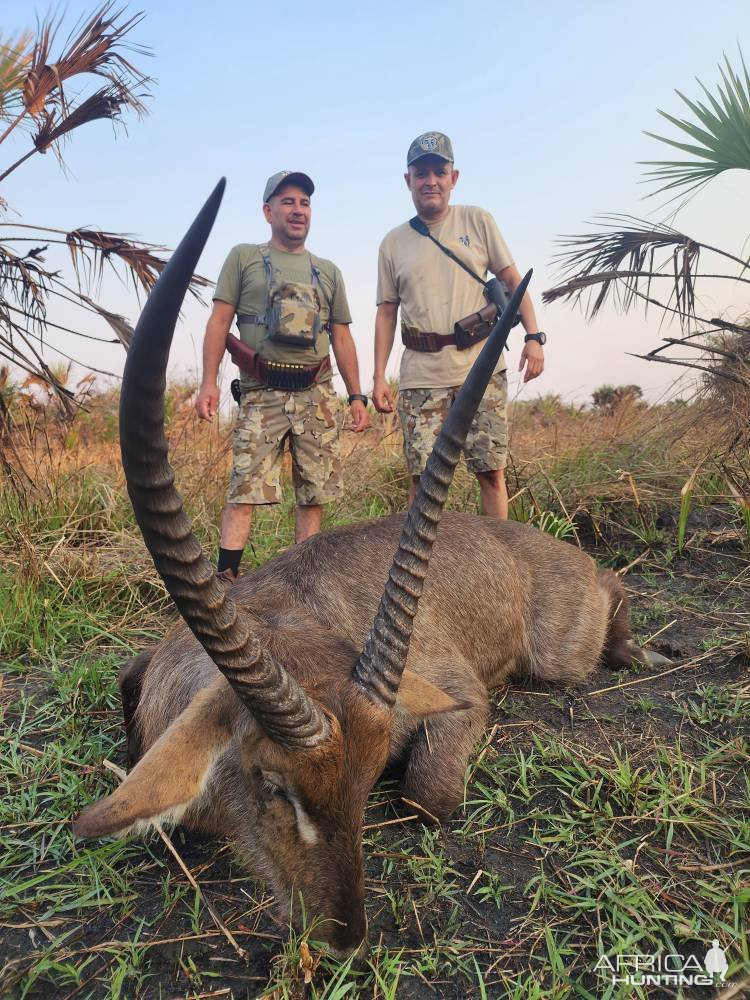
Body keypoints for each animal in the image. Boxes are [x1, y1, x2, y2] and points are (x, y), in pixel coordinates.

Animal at [73, 182, 668, 960]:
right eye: (272, 783)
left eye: (366, 776)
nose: (346, 935)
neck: (285, 623)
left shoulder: (456, 696)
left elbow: (428, 794)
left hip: (561, 652)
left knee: (609, 596)